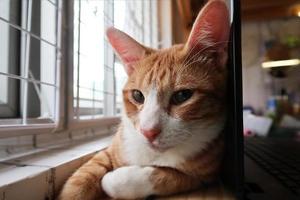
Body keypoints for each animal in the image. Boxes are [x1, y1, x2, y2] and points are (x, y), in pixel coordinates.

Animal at [59, 0, 231, 199]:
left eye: (182, 96)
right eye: (137, 95)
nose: (148, 132)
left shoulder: (200, 176)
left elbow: (161, 175)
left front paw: (115, 179)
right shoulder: (109, 151)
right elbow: (81, 178)